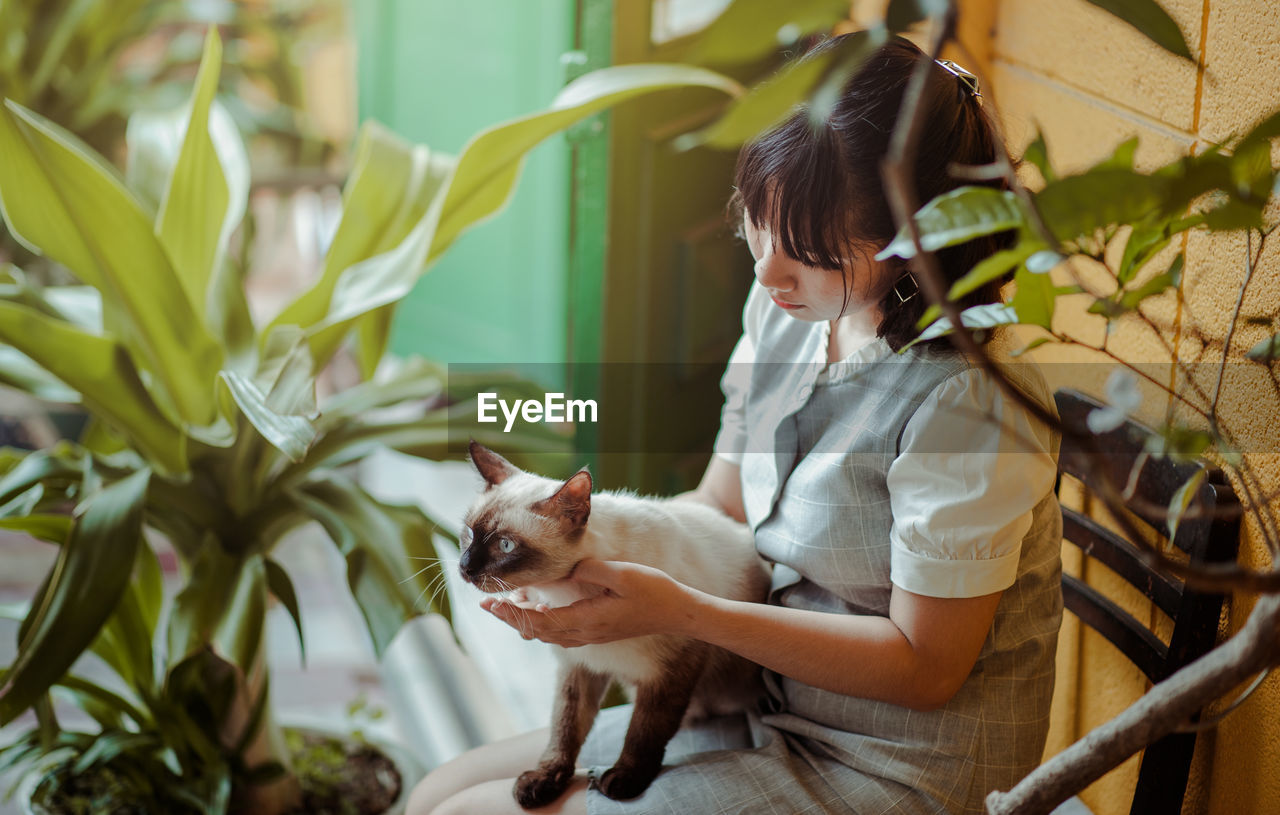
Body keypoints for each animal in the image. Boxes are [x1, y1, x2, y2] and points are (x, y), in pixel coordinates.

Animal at [460, 445, 768, 808]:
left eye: (505, 545)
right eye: (469, 533)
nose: (464, 567)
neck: (563, 592)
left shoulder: (670, 672)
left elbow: (644, 732)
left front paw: (624, 781)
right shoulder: (579, 666)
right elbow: (564, 728)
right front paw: (544, 780)